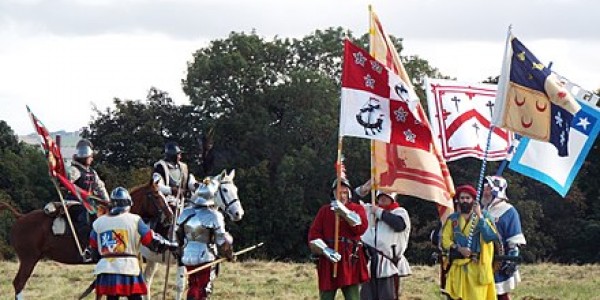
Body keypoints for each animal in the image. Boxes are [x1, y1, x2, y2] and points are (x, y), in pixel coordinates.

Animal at [141, 170, 244, 300]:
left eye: (235, 189)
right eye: (225, 190)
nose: (238, 213)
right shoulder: (181, 260)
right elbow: (180, 286)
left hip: (152, 258)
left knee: (146, 280)